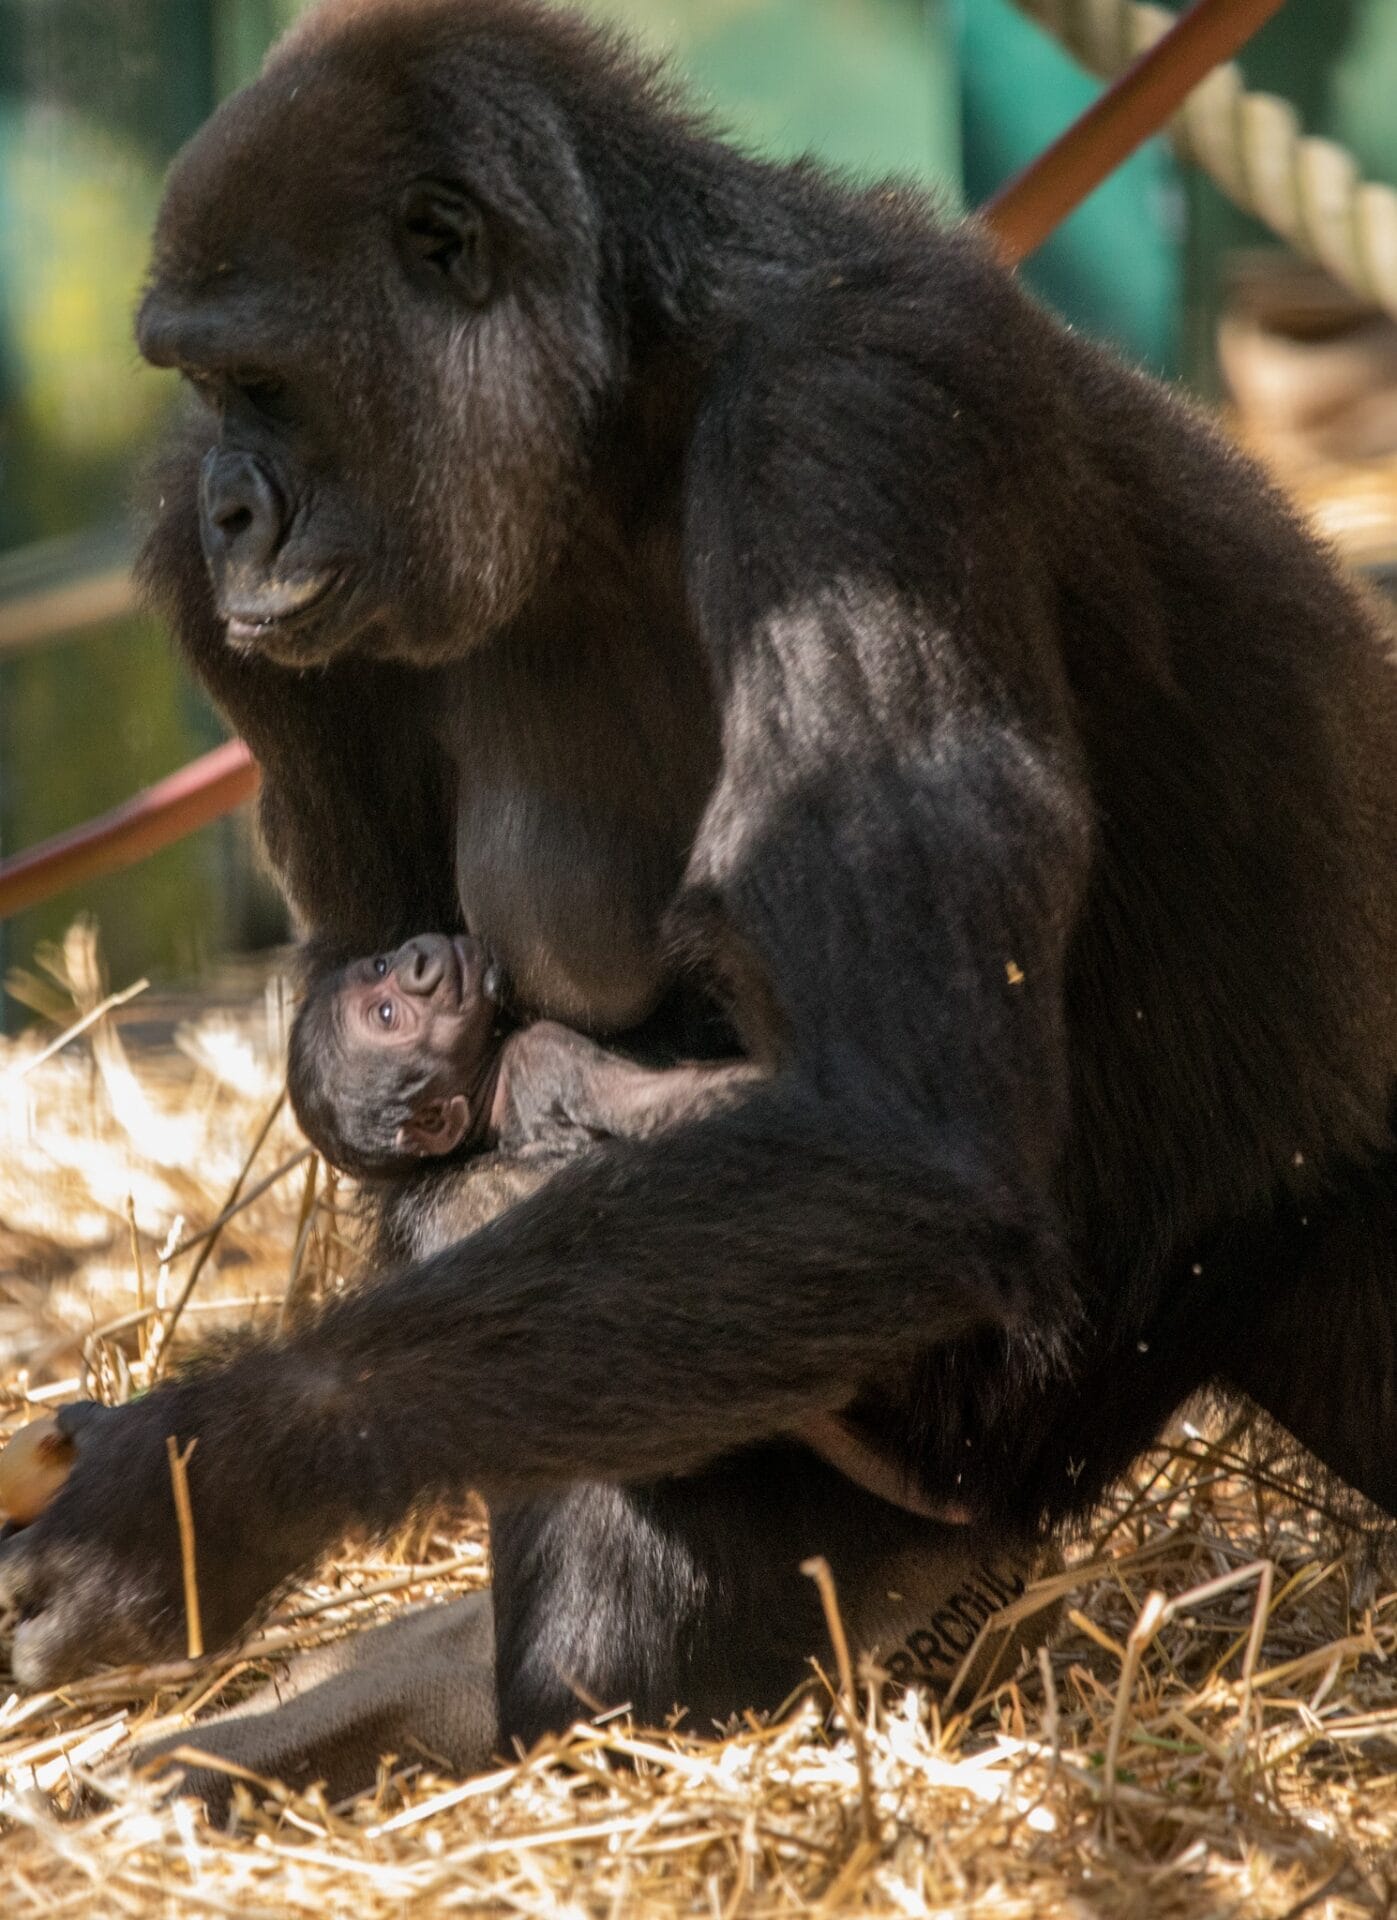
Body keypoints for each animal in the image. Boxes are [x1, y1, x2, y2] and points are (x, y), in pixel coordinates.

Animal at [4, 0, 1397, 1764]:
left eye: (262, 379)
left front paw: (207, 1480)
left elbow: (896, 1126)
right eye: (200, 390)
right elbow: (379, 1009)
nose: (230, 503)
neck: (616, 418)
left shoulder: (849, 411)